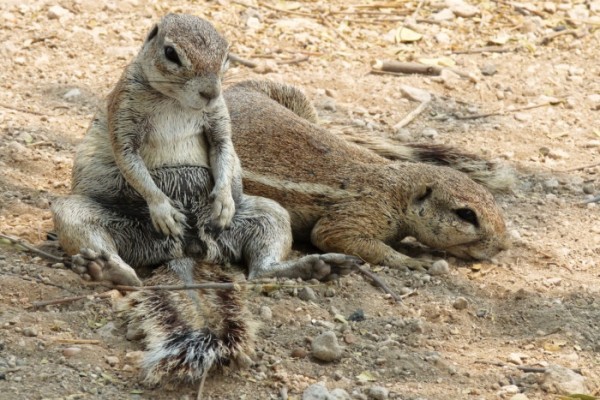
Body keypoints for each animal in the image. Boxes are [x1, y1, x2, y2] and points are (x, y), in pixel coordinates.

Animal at [51, 16, 358, 388]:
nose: (210, 91)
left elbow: (224, 149)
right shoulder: (122, 112)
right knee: (117, 261)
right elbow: (131, 164)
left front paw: (223, 200)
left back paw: (313, 267)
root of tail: (187, 250)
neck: (176, 101)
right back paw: (104, 268)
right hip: (80, 214)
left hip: (269, 214)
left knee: (261, 268)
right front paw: (163, 209)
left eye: (226, 56)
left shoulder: (218, 119)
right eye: (171, 53)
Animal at [224, 80, 510, 270]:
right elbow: (332, 235)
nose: (503, 246)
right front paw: (409, 261)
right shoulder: (358, 212)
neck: (397, 187)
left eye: (492, 200)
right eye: (466, 214)